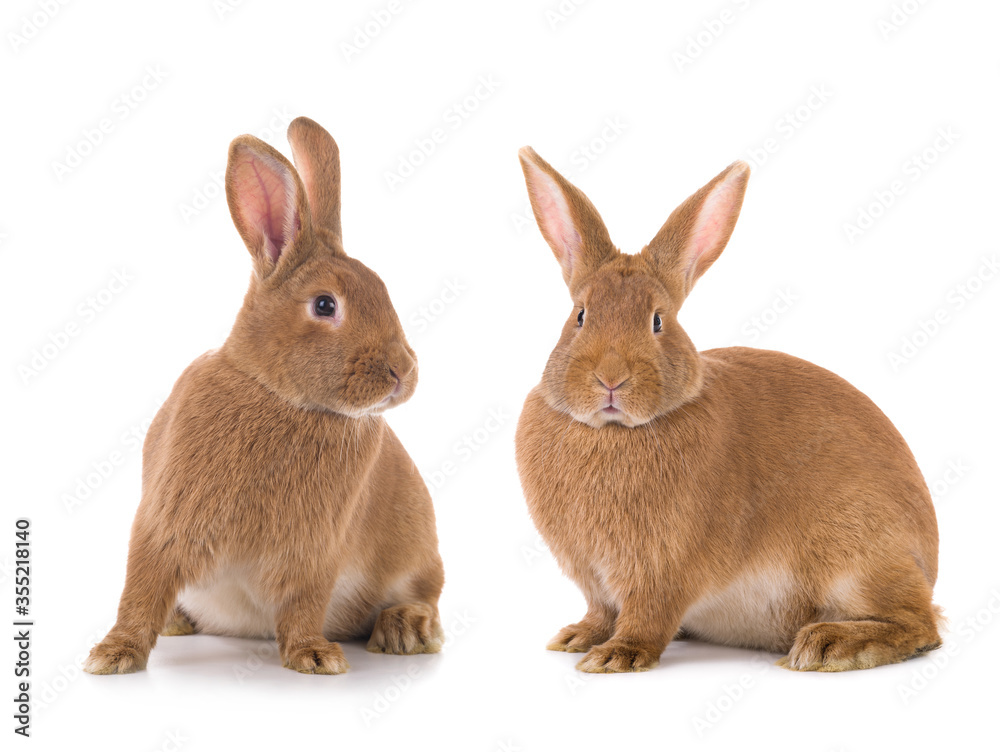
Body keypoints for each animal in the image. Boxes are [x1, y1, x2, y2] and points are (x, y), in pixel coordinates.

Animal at [85, 117, 444, 675]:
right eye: (325, 305)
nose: (402, 372)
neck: (278, 395)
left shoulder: (315, 551)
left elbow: (303, 605)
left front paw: (314, 658)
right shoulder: (163, 524)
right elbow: (140, 591)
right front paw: (112, 655)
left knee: (427, 595)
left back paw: (406, 628)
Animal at [514, 147, 942, 673]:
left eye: (658, 321)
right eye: (579, 316)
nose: (610, 379)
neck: (614, 431)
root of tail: (929, 561)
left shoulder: (665, 569)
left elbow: (647, 616)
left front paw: (617, 656)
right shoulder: (595, 578)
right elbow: (601, 611)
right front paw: (577, 637)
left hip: (857, 553)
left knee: (920, 625)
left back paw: (828, 645)